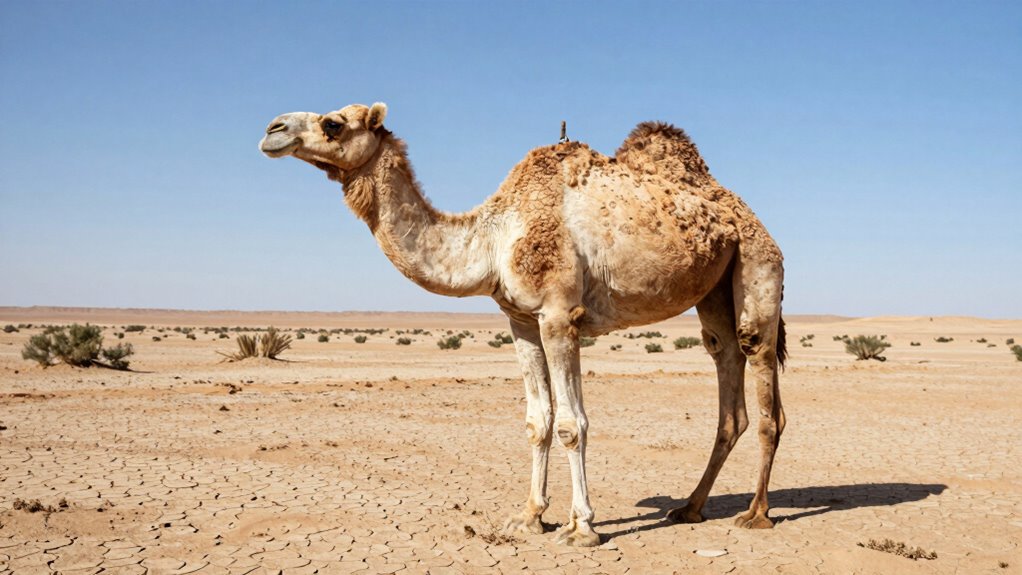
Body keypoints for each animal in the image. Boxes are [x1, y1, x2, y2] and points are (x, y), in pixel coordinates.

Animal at [259, 103, 787, 547]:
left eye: (333, 123)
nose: (272, 129)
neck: (494, 239)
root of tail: (745, 213)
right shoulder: (520, 321)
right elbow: (538, 421)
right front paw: (530, 516)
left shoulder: (559, 316)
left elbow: (572, 424)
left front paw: (582, 527)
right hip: (714, 288)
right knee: (725, 371)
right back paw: (690, 508)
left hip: (759, 263)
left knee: (761, 378)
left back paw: (756, 514)